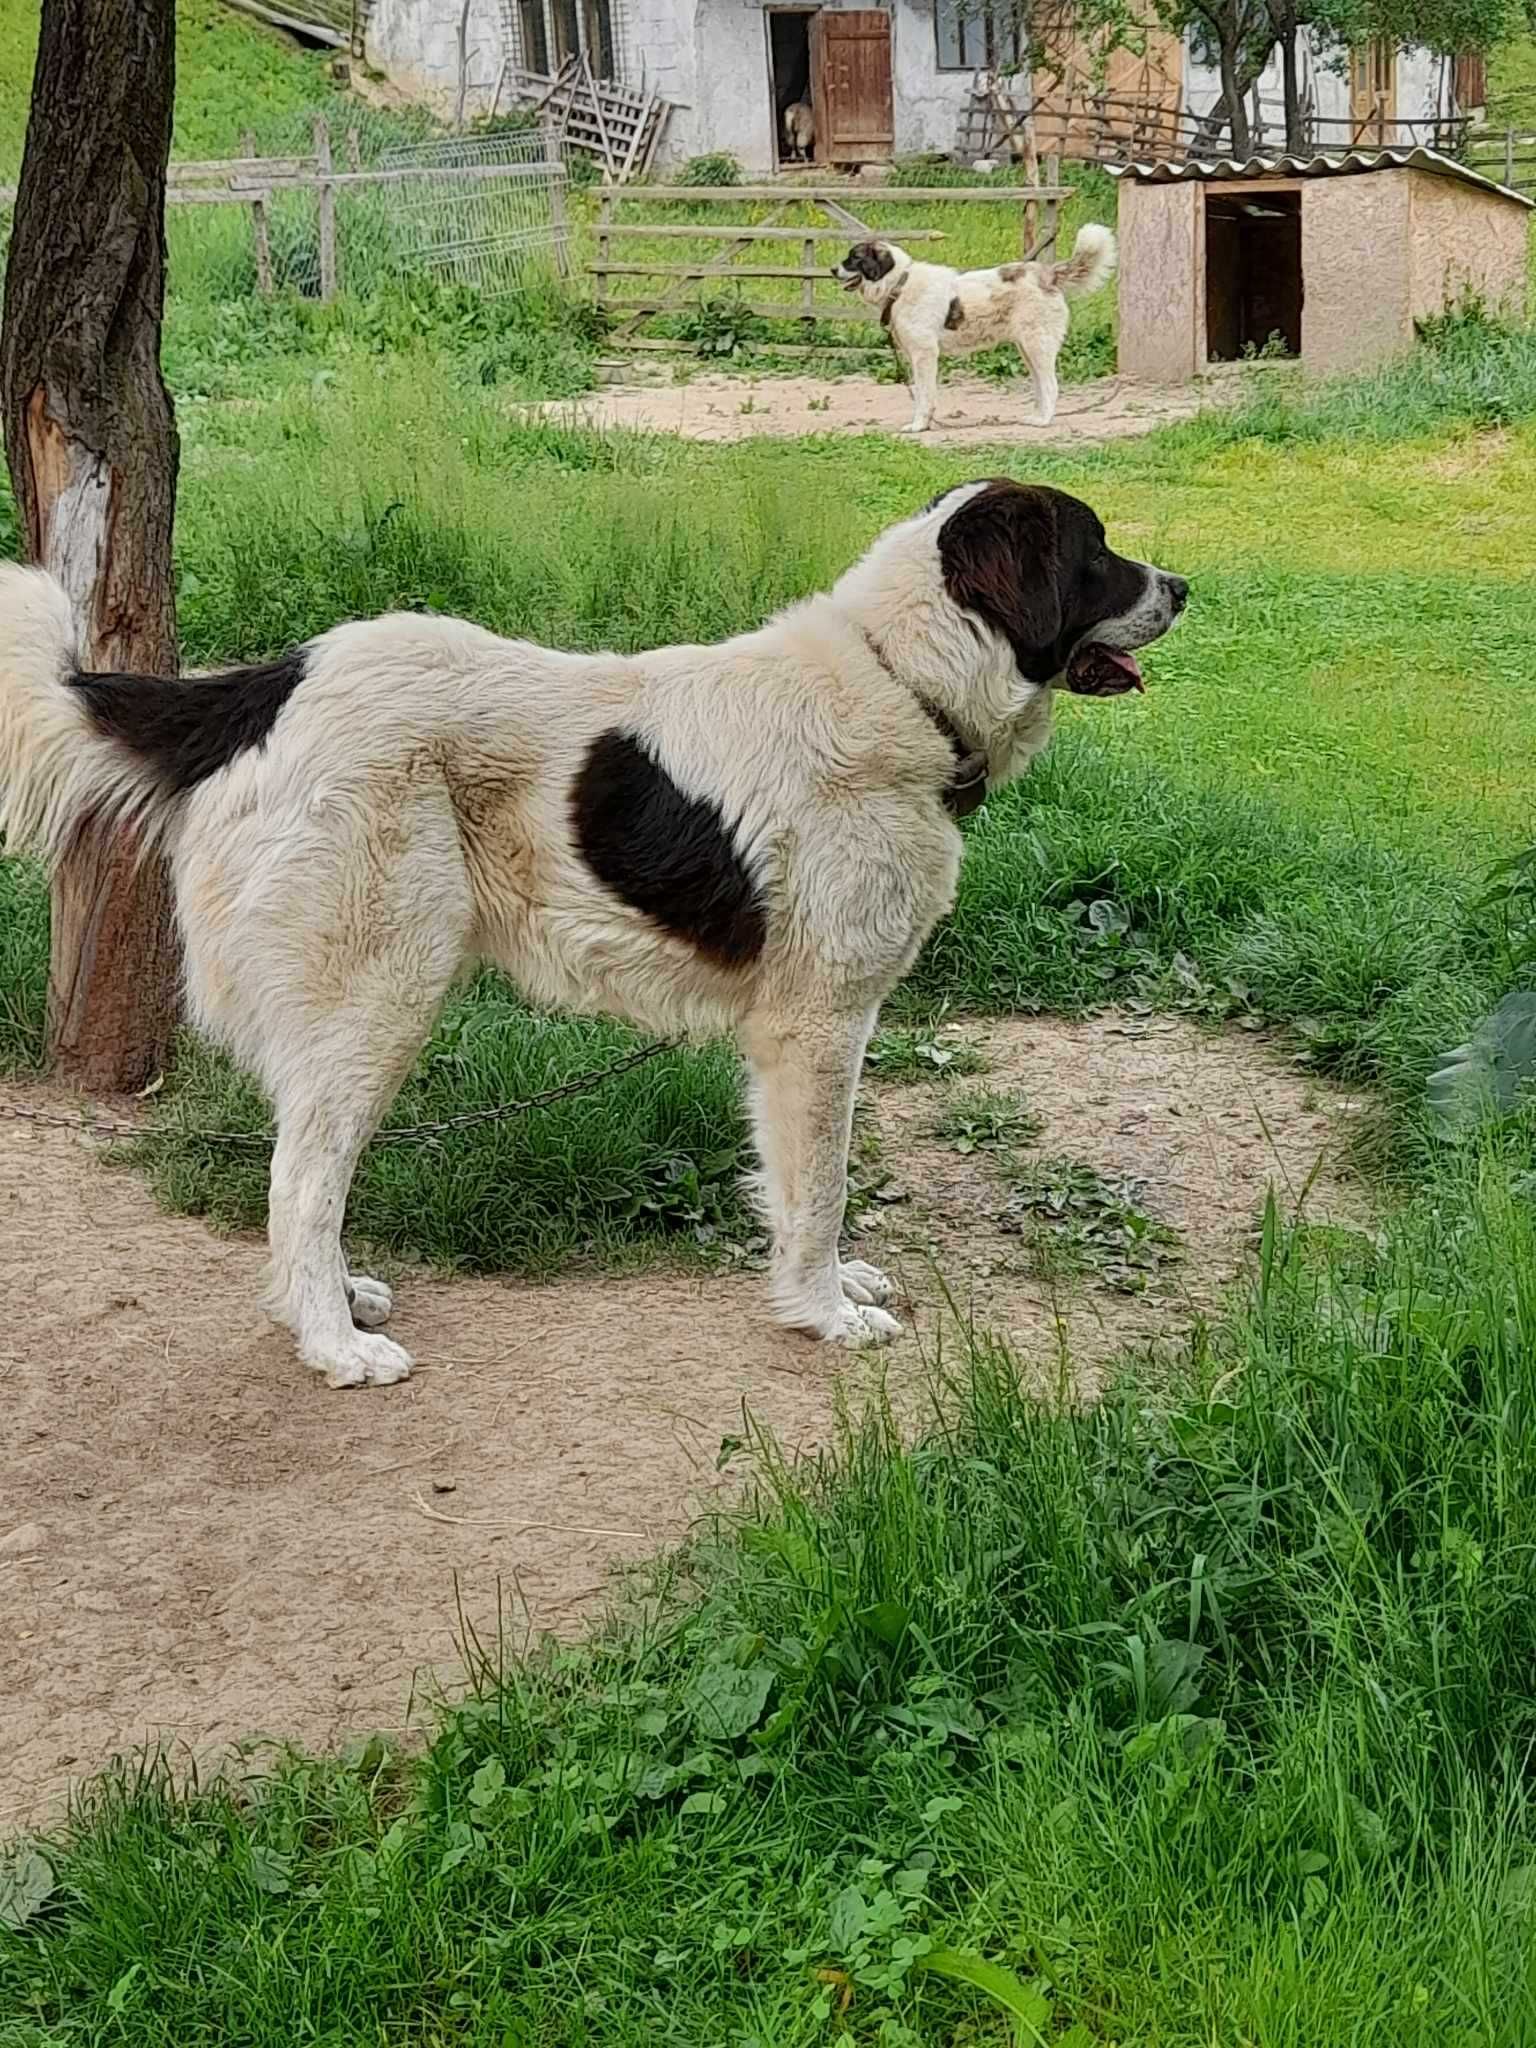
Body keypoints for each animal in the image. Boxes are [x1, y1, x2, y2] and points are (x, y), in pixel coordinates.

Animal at [0, 475, 1187, 1392]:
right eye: (1096, 553)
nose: (1186, 588)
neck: (905, 682)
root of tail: (266, 686)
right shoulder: (816, 1025)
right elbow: (822, 1189)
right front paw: (823, 1314)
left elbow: (793, 1187)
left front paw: (829, 1287)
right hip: (378, 1002)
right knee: (300, 1183)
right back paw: (335, 1346)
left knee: (307, 1175)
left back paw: (334, 1299)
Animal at [835, 224, 1122, 432]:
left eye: (854, 258)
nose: (831, 269)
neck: (900, 284)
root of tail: (1048, 274)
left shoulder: (924, 355)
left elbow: (923, 395)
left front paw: (918, 426)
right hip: (1027, 349)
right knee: (1041, 386)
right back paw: (1035, 417)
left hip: (1037, 345)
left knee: (1051, 385)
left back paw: (1043, 422)